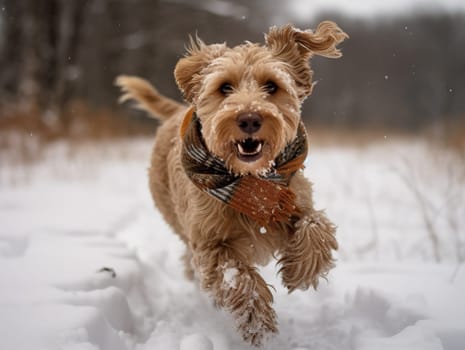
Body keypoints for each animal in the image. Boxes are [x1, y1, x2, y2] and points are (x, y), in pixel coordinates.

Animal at [117, 21, 348, 348]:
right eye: (225, 87)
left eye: (271, 86)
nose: (249, 118)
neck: (251, 183)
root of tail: (176, 111)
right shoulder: (209, 242)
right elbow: (237, 277)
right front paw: (258, 324)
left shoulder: (295, 198)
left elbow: (316, 225)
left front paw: (299, 271)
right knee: (192, 263)